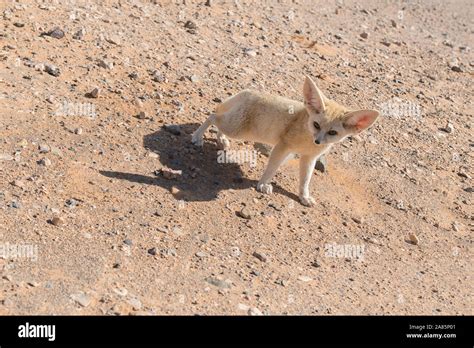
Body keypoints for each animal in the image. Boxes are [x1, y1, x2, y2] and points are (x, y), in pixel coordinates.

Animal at [191, 75, 380, 207]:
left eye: (332, 132)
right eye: (316, 125)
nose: (318, 141)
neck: (307, 139)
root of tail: (249, 91)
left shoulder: (308, 158)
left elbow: (305, 179)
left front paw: (304, 196)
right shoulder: (283, 147)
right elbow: (272, 168)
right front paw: (263, 184)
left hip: (238, 129)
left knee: (219, 121)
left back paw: (221, 140)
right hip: (237, 129)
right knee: (213, 115)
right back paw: (198, 136)